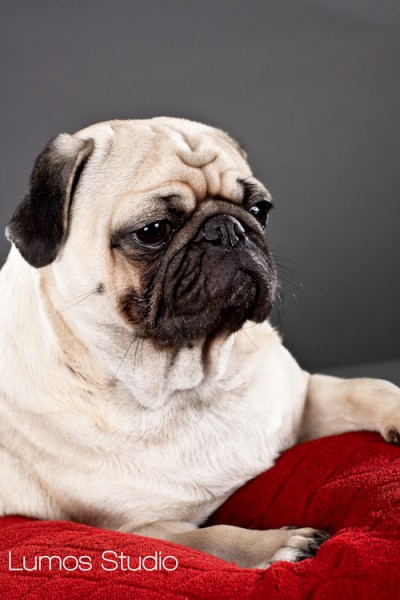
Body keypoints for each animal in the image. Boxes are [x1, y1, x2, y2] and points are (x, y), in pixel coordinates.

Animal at [0, 116, 400, 568]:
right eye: (153, 231)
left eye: (260, 210)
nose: (228, 228)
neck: (190, 381)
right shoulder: (143, 529)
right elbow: (215, 537)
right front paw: (278, 544)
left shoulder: (304, 403)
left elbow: (369, 387)